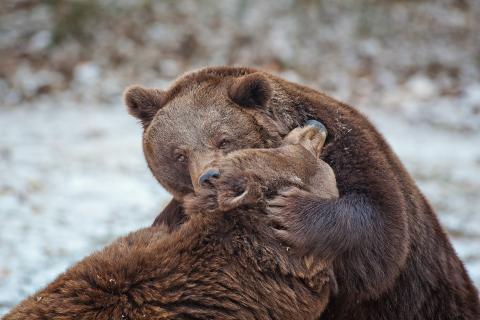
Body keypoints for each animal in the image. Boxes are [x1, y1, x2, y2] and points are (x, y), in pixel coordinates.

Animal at [124, 66, 480, 318]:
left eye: (223, 139)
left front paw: (289, 215)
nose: (207, 178)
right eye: (178, 154)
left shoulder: (351, 148)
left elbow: (382, 231)